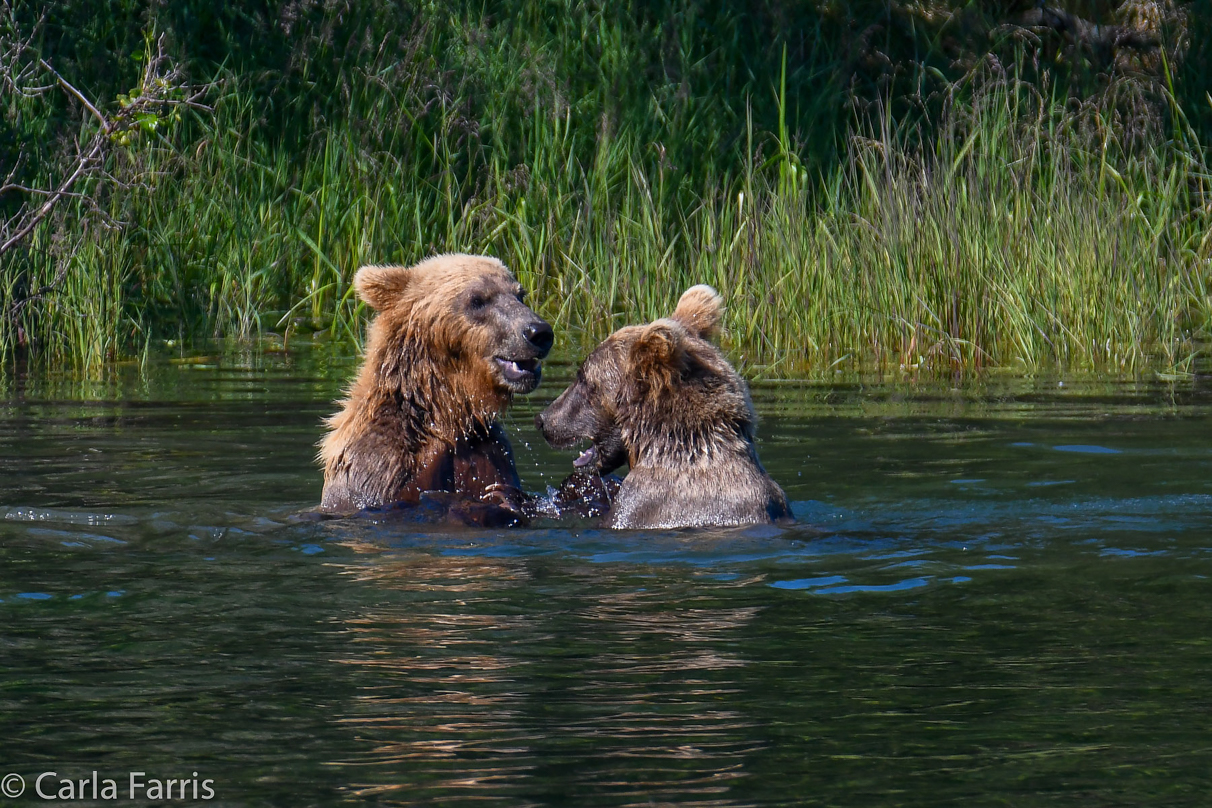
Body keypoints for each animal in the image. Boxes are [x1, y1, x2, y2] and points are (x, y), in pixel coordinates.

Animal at [317, 253, 555, 518]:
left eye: (520, 294)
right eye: (477, 300)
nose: (538, 332)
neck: (444, 412)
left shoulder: (491, 450)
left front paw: (505, 497)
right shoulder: (381, 466)